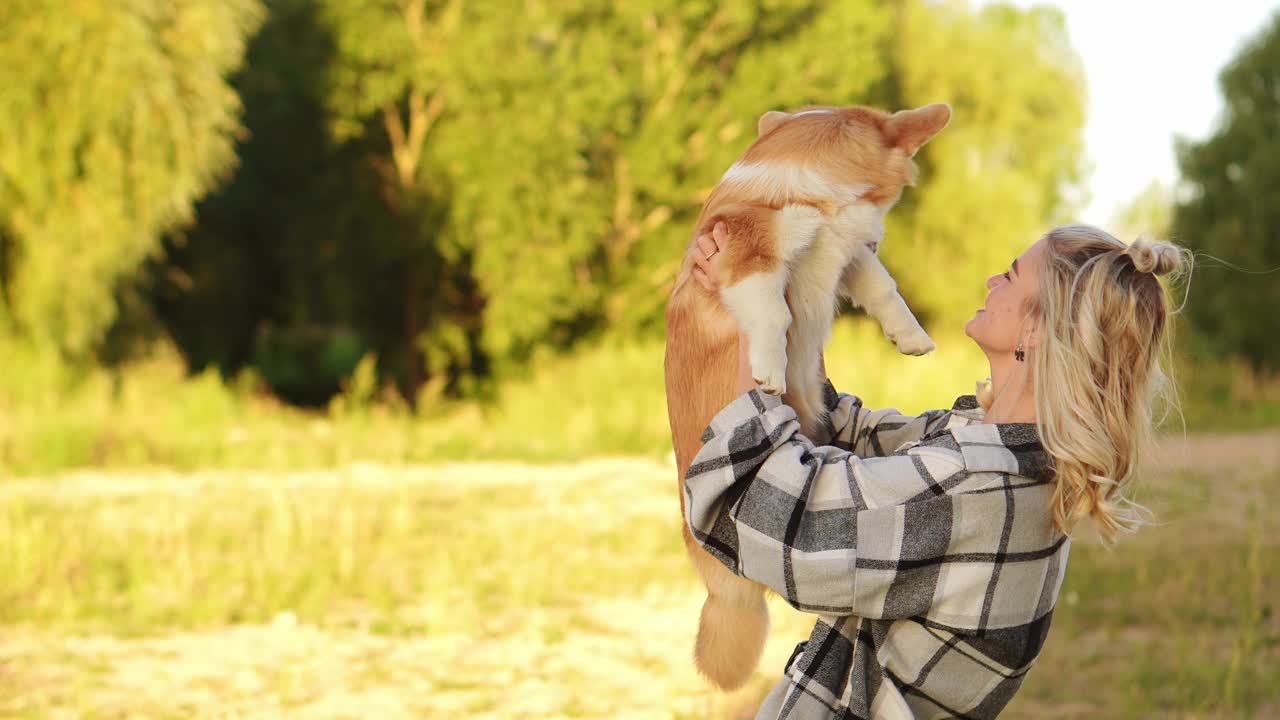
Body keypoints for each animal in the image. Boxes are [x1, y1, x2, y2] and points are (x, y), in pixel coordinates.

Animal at [660, 102, 952, 691]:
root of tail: (721, 588)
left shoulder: (849, 253)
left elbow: (884, 288)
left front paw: (911, 337)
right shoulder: (749, 252)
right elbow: (776, 311)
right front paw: (770, 369)